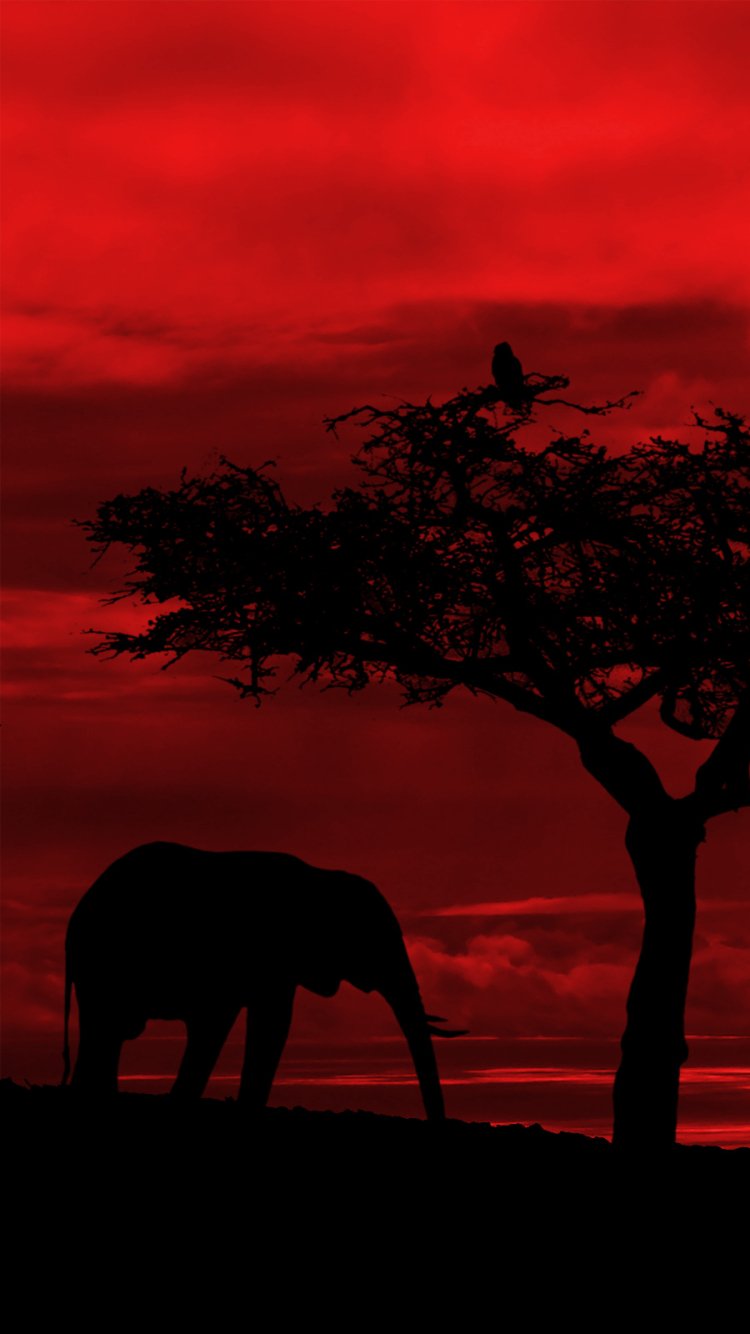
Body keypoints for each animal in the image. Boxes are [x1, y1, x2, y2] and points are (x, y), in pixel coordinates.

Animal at [62, 841, 463, 1120]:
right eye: (375, 941)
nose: (437, 1122)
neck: (320, 877)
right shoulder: (267, 956)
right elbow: (267, 1023)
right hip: (104, 964)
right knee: (106, 1029)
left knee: (108, 1033)